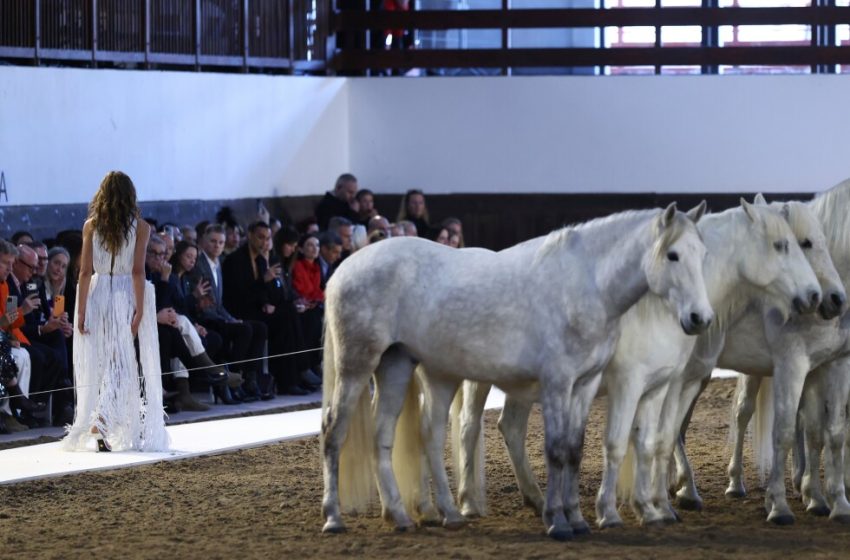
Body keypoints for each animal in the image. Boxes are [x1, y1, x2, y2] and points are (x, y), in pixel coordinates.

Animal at [320, 203, 714, 541]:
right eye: (672, 255)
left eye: (702, 254)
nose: (700, 318)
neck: (585, 286)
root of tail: (344, 268)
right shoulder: (559, 384)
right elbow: (556, 450)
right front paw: (557, 522)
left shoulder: (585, 386)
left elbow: (575, 449)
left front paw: (577, 518)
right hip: (357, 365)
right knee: (334, 431)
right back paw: (334, 518)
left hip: (400, 365)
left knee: (393, 435)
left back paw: (414, 515)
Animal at [448, 199, 825, 527]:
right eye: (781, 245)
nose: (814, 297)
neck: (660, 307)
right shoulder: (637, 383)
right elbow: (642, 441)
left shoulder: (676, 384)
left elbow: (658, 440)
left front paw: (659, 506)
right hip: (480, 380)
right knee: (469, 428)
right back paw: (466, 503)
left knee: (510, 427)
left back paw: (537, 500)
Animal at [670, 187, 848, 525]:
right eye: (804, 243)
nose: (835, 299)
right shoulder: (793, 365)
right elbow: (787, 431)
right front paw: (780, 505)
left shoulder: (831, 365)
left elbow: (829, 432)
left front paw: (832, 502)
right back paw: (691, 490)